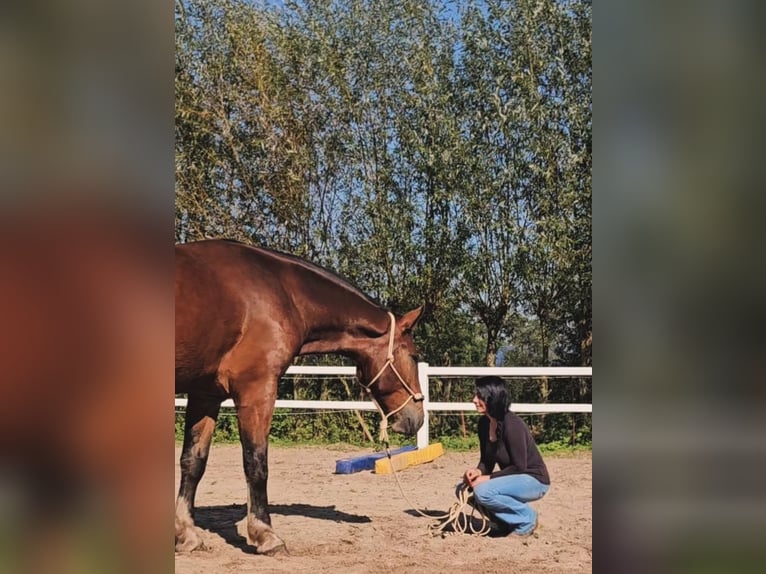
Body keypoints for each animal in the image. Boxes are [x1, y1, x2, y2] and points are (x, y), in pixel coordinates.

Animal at [176, 238, 426, 552]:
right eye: (415, 356)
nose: (417, 417)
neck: (281, 292)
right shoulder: (257, 390)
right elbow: (255, 462)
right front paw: (265, 534)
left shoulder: (205, 394)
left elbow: (193, 461)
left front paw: (186, 533)